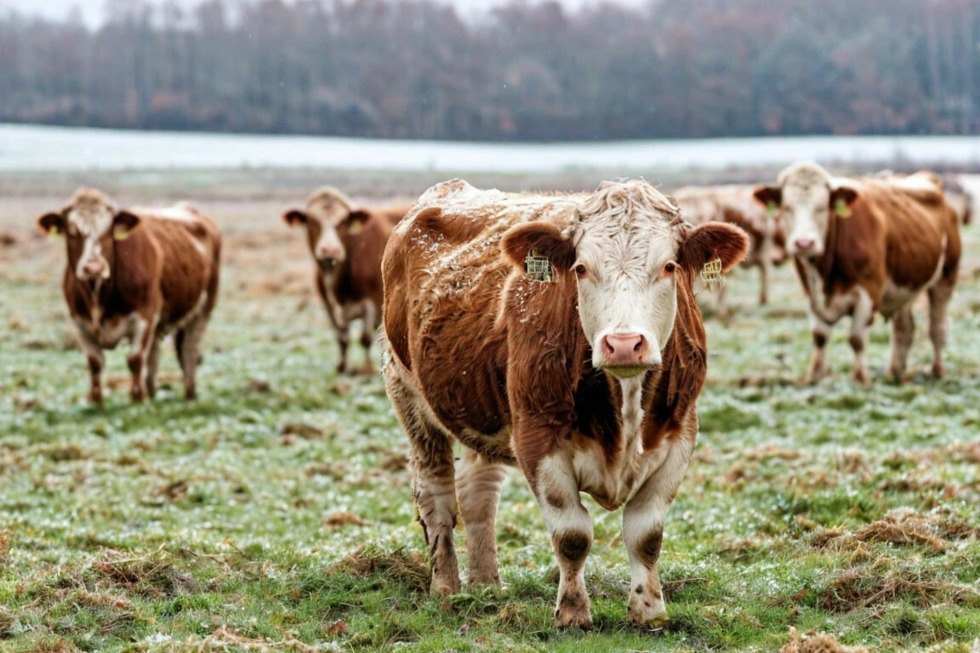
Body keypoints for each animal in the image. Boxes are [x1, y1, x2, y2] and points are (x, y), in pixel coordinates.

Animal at [37, 186, 221, 402]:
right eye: (72, 230)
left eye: (108, 231)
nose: (94, 267)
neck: (99, 295)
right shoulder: (79, 322)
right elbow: (95, 362)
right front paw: (96, 401)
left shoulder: (145, 315)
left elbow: (135, 359)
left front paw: (137, 399)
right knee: (154, 356)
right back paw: (151, 392)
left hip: (204, 308)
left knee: (189, 351)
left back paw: (189, 394)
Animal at [282, 186, 408, 374]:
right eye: (312, 222)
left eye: (342, 222)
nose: (330, 250)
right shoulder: (328, 303)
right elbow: (341, 336)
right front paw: (342, 367)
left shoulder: (371, 301)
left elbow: (365, 338)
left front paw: (367, 368)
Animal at [382, 177, 752, 628]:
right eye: (581, 268)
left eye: (669, 267)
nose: (624, 344)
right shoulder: (537, 439)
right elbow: (572, 535)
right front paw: (573, 612)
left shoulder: (679, 436)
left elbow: (646, 535)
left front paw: (649, 611)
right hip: (409, 398)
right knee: (435, 495)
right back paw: (446, 588)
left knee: (478, 496)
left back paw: (486, 585)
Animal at [756, 163, 960, 384]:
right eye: (787, 207)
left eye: (822, 207)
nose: (804, 243)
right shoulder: (810, 295)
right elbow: (820, 336)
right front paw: (814, 376)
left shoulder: (868, 293)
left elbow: (857, 339)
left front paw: (861, 379)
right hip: (904, 287)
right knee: (903, 329)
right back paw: (893, 374)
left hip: (945, 279)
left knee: (937, 329)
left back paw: (937, 371)